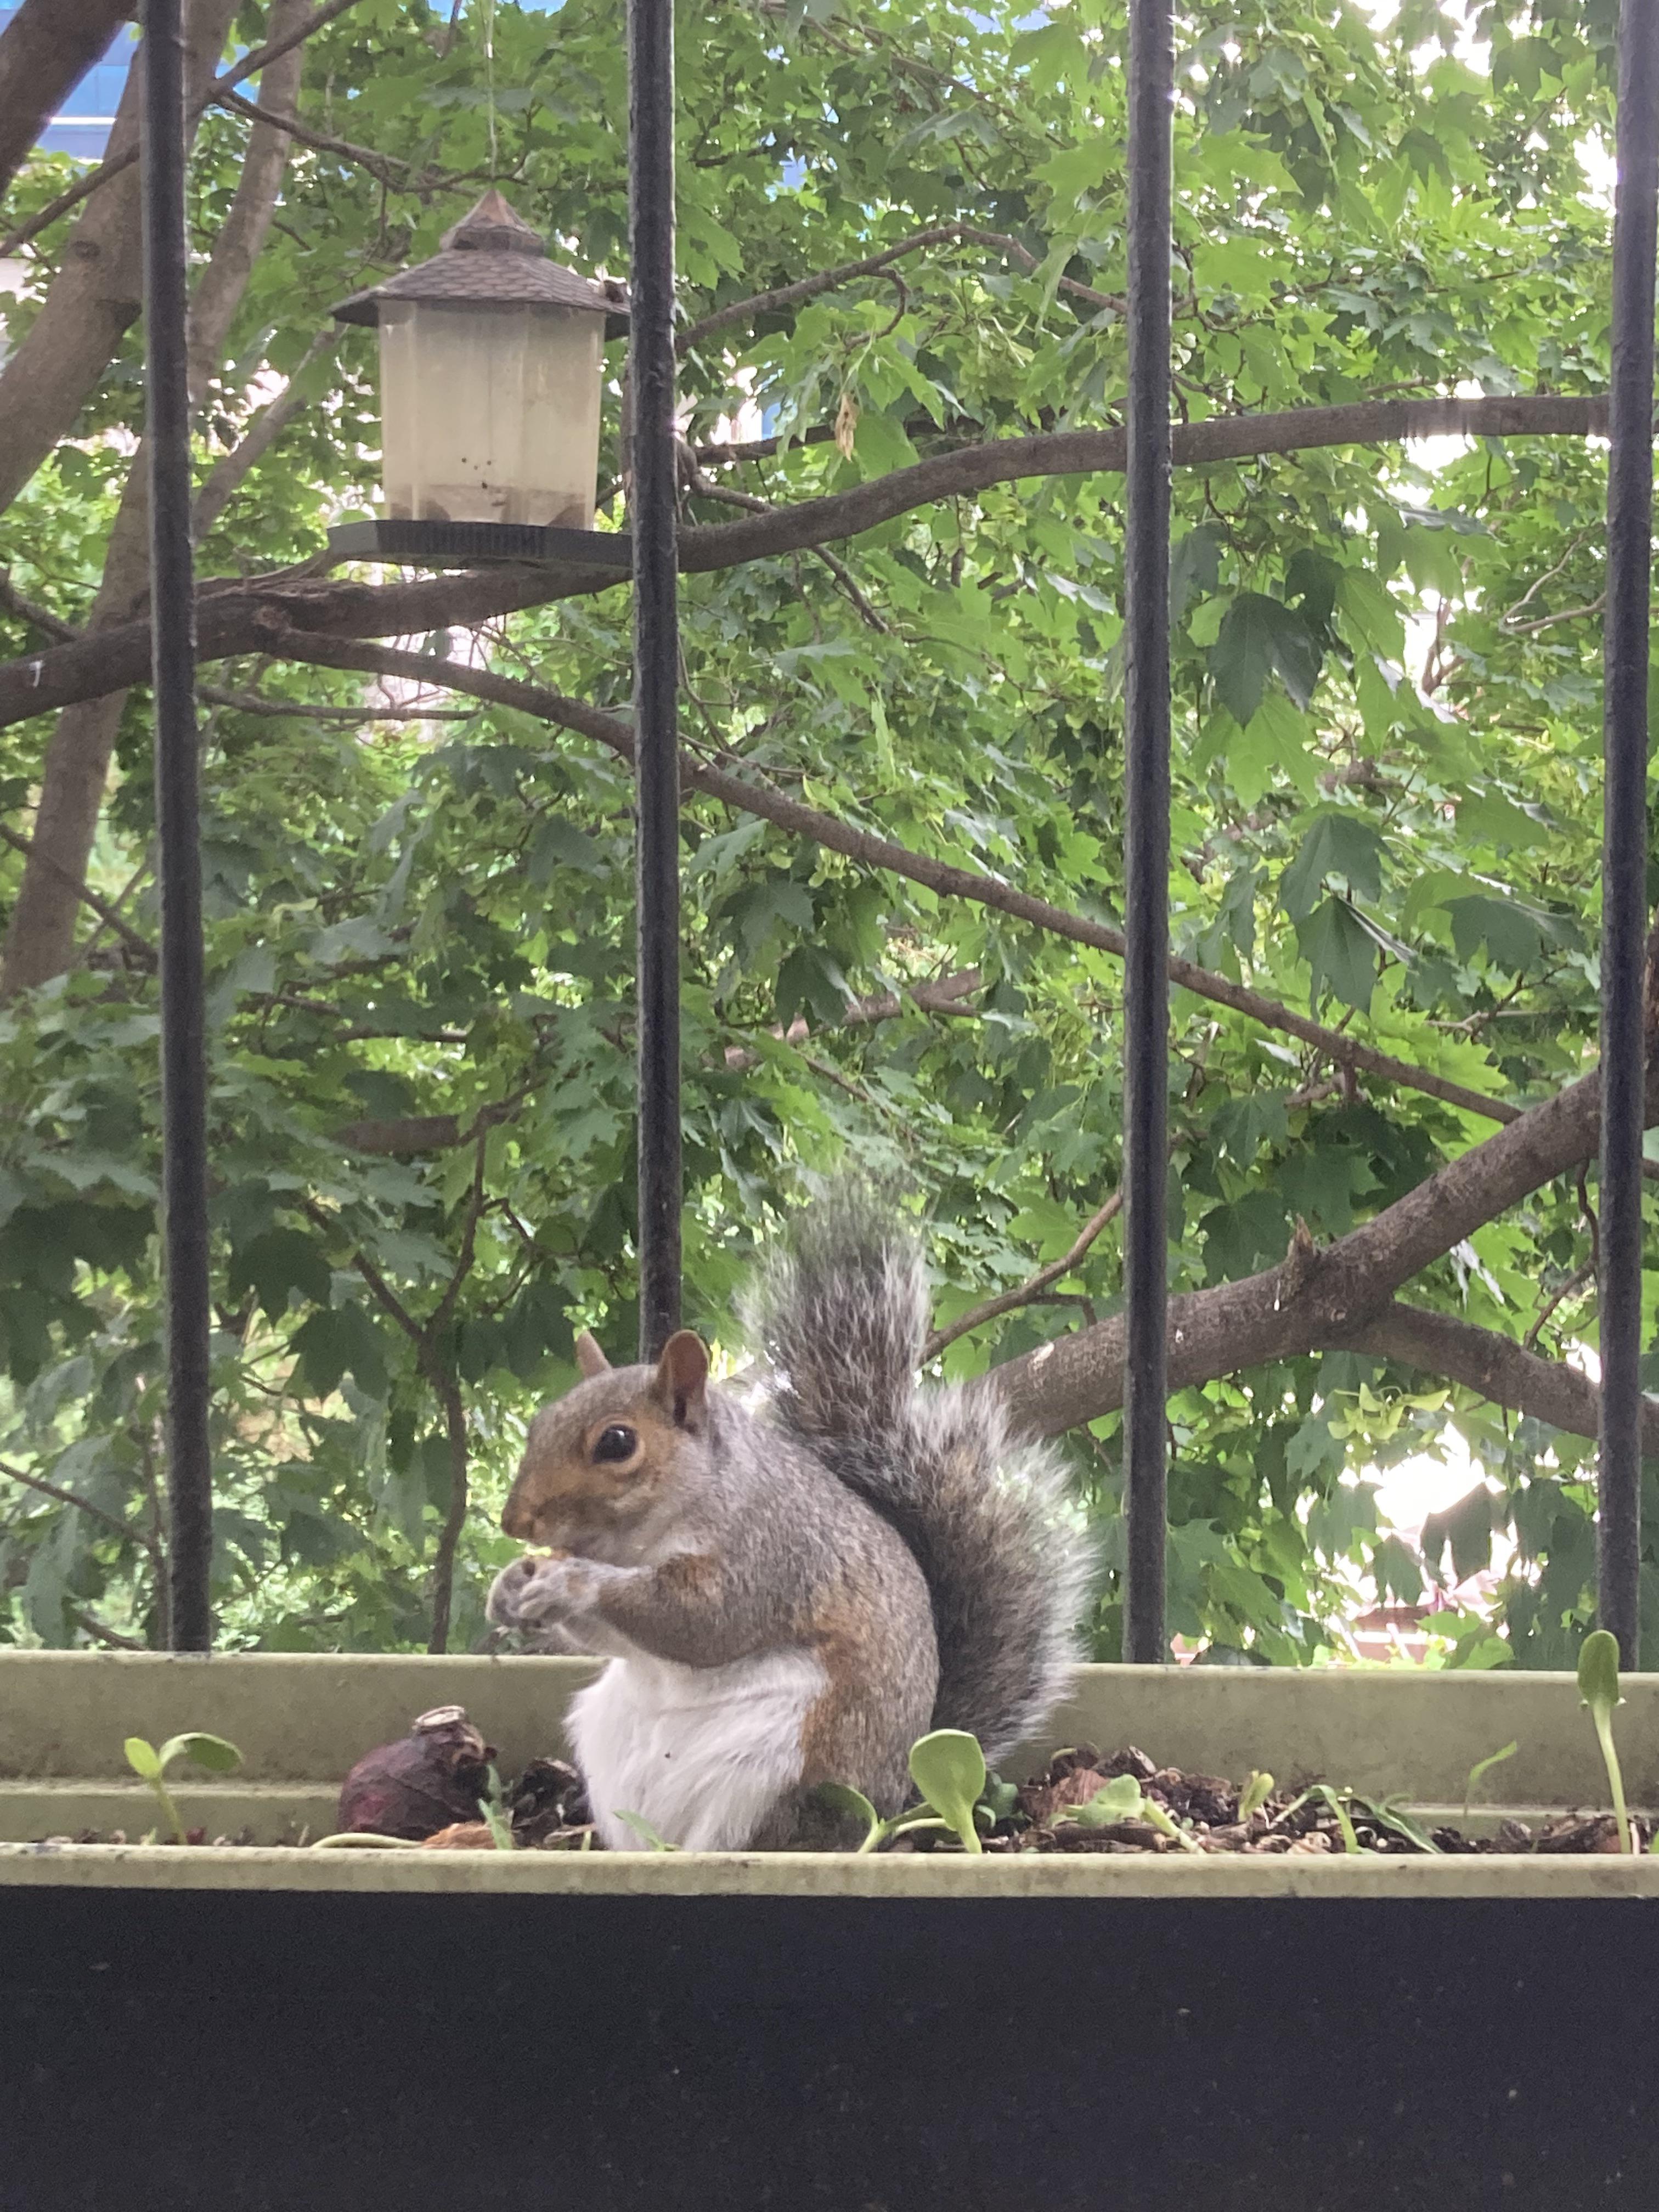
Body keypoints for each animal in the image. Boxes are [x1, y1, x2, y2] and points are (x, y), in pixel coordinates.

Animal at [485, 1183, 1092, 1851]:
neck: (642, 1539)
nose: (516, 1523)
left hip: (776, 1756)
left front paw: (573, 1583)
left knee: (745, 1842)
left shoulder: (773, 1549)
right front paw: (509, 1588)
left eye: (617, 1443)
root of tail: (886, 1809)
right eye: (541, 1421)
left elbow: (704, 1621)